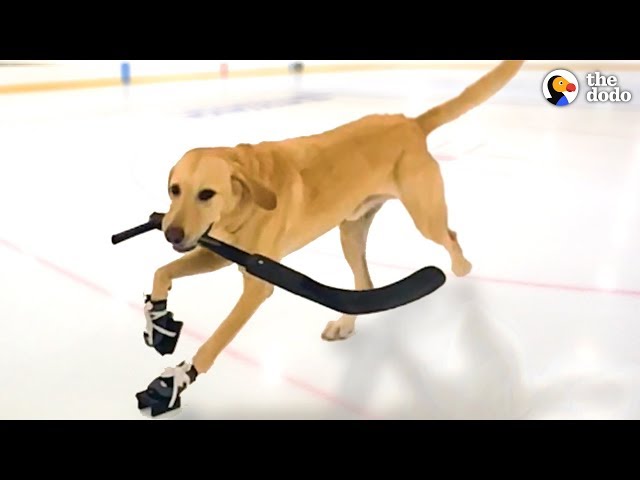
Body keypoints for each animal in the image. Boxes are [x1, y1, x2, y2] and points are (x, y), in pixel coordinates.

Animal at [142, 61, 524, 402]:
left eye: (206, 194)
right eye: (174, 190)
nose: (170, 233)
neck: (246, 192)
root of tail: (409, 123)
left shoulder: (257, 283)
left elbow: (215, 340)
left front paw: (180, 377)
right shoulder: (215, 252)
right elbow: (162, 271)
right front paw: (157, 316)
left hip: (425, 217)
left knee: (450, 237)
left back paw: (462, 267)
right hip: (350, 235)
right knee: (364, 284)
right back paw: (346, 324)